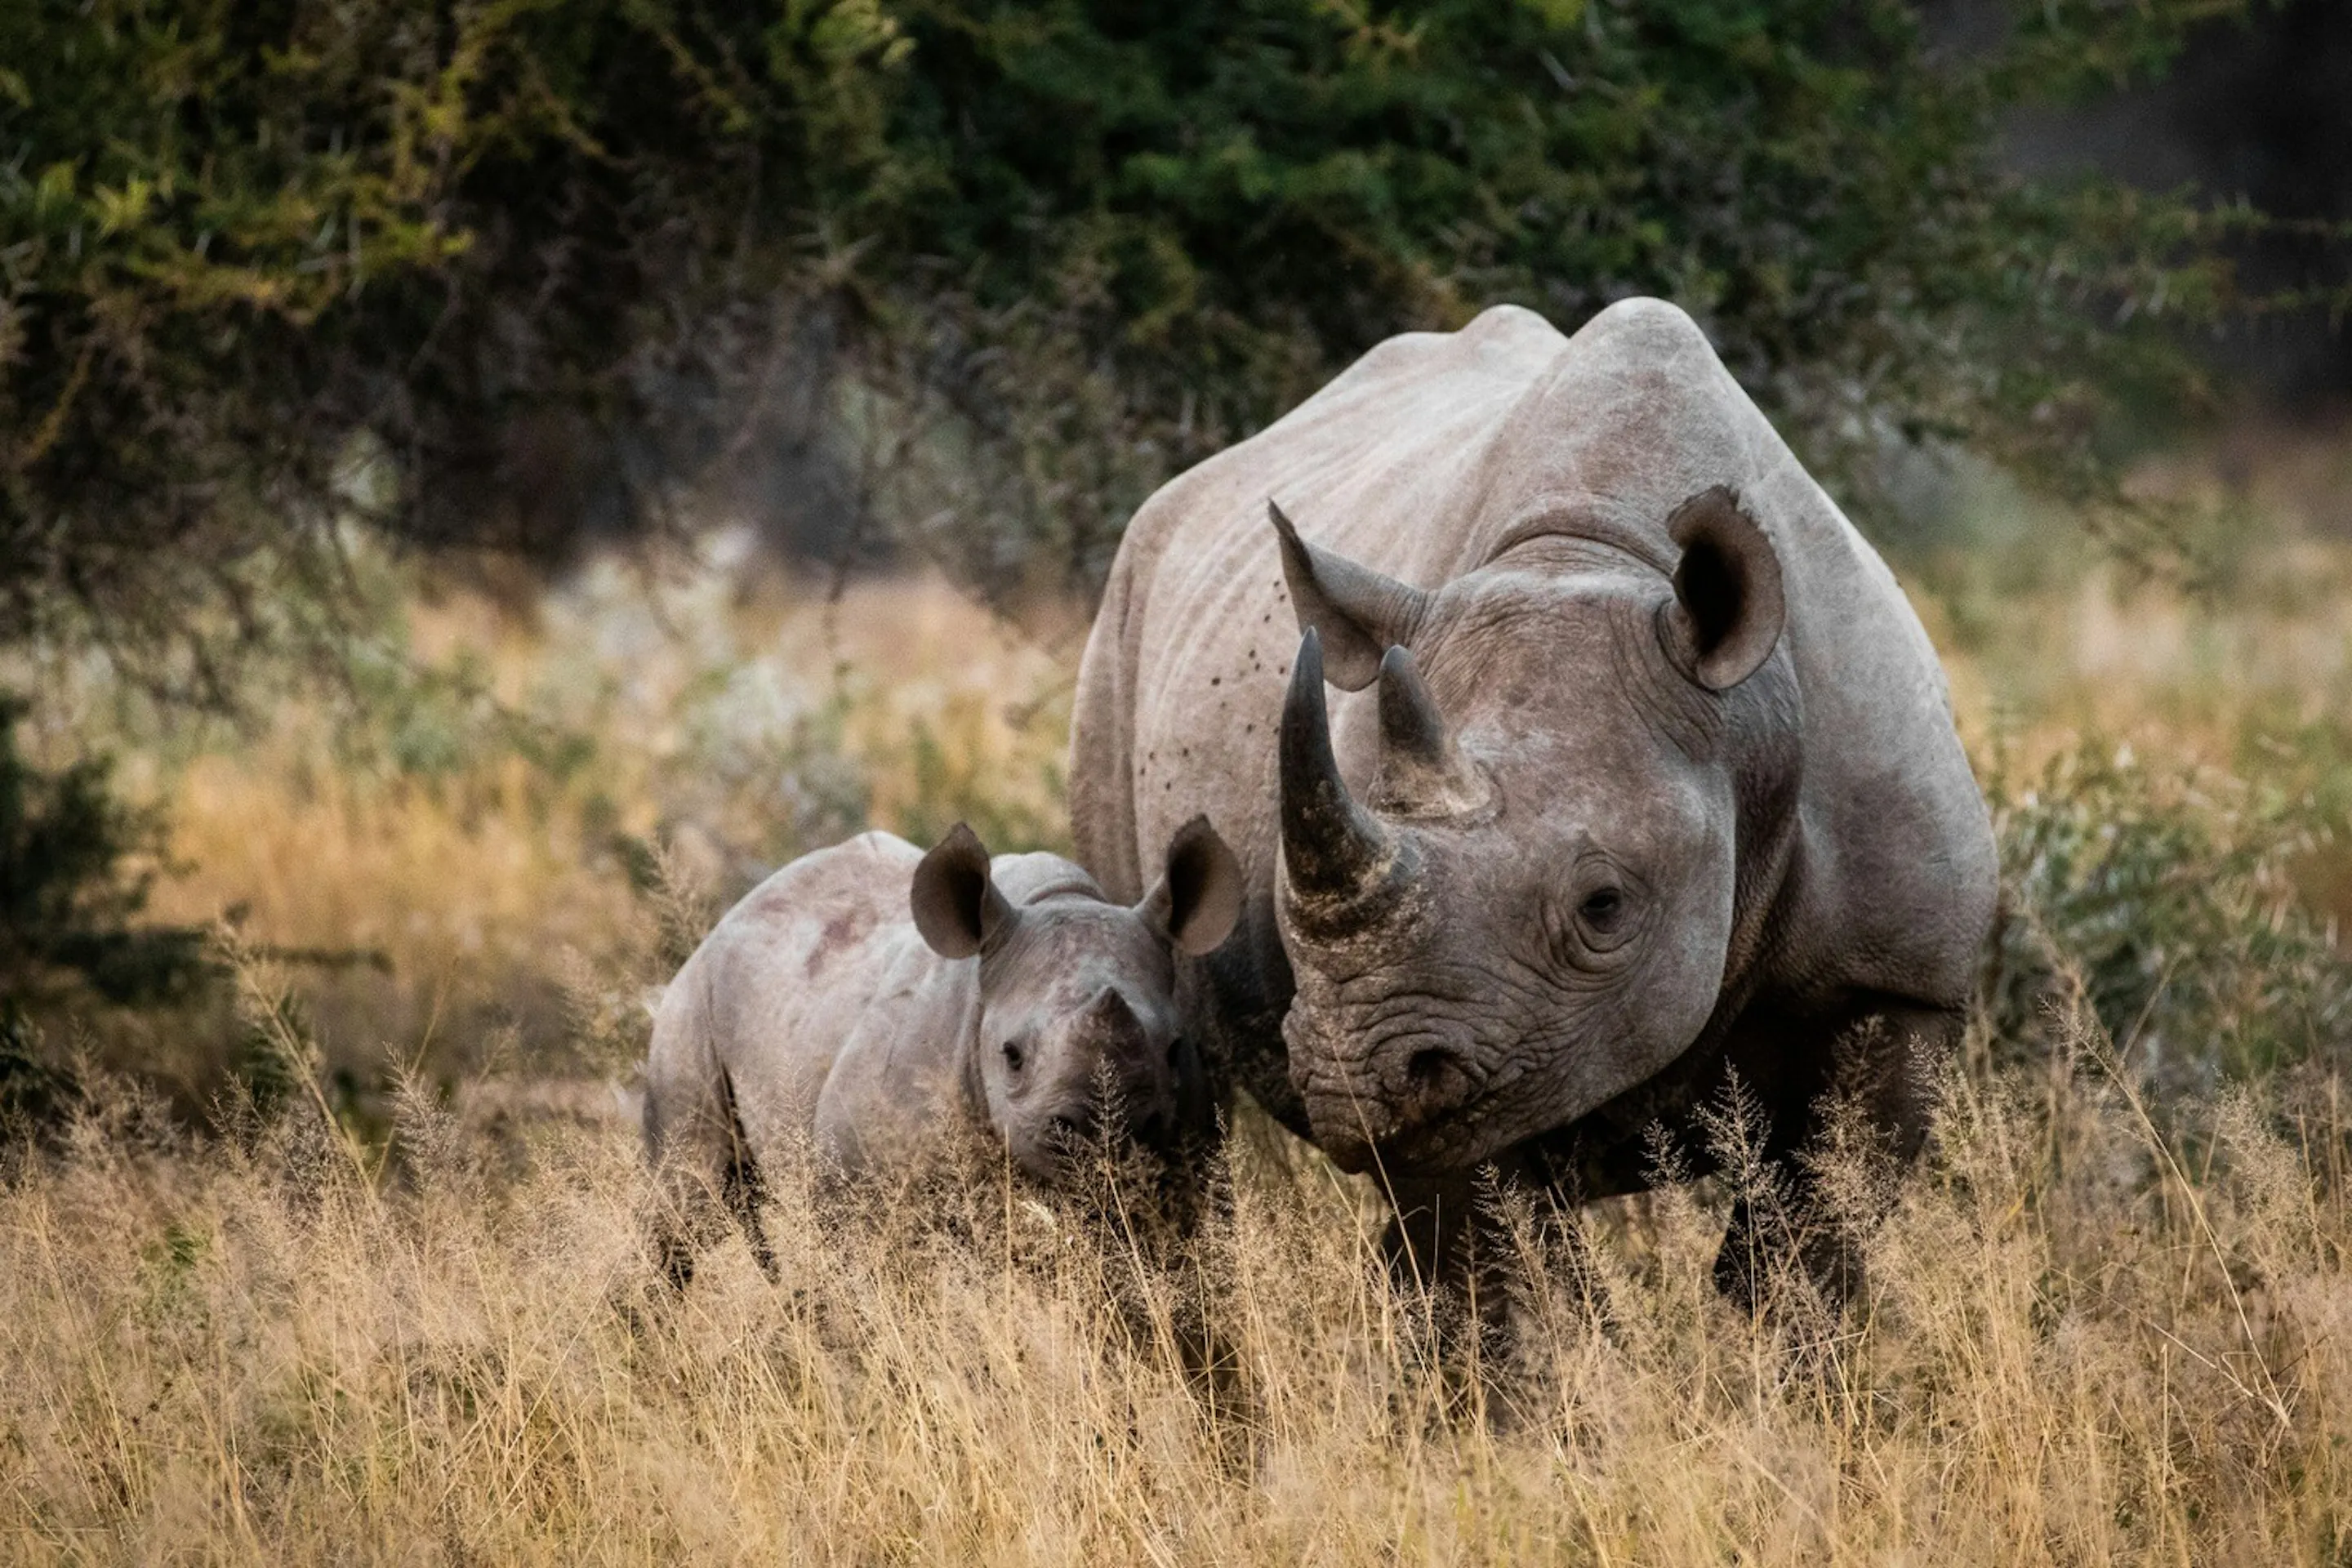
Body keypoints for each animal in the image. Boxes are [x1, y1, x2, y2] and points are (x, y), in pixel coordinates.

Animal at [641, 818, 1242, 1283]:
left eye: (1173, 1050)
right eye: (1011, 1055)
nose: (1104, 1135)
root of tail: (729, 916)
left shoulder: (1188, 1176)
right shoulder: (856, 1186)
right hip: (688, 1012)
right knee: (684, 1211)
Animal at [1068, 299, 1998, 1307]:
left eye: (1605, 906)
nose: (1358, 1080)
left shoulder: (1899, 982)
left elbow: (1808, 1249)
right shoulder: (1481, 1038)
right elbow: (1500, 1271)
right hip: (1116, 636)